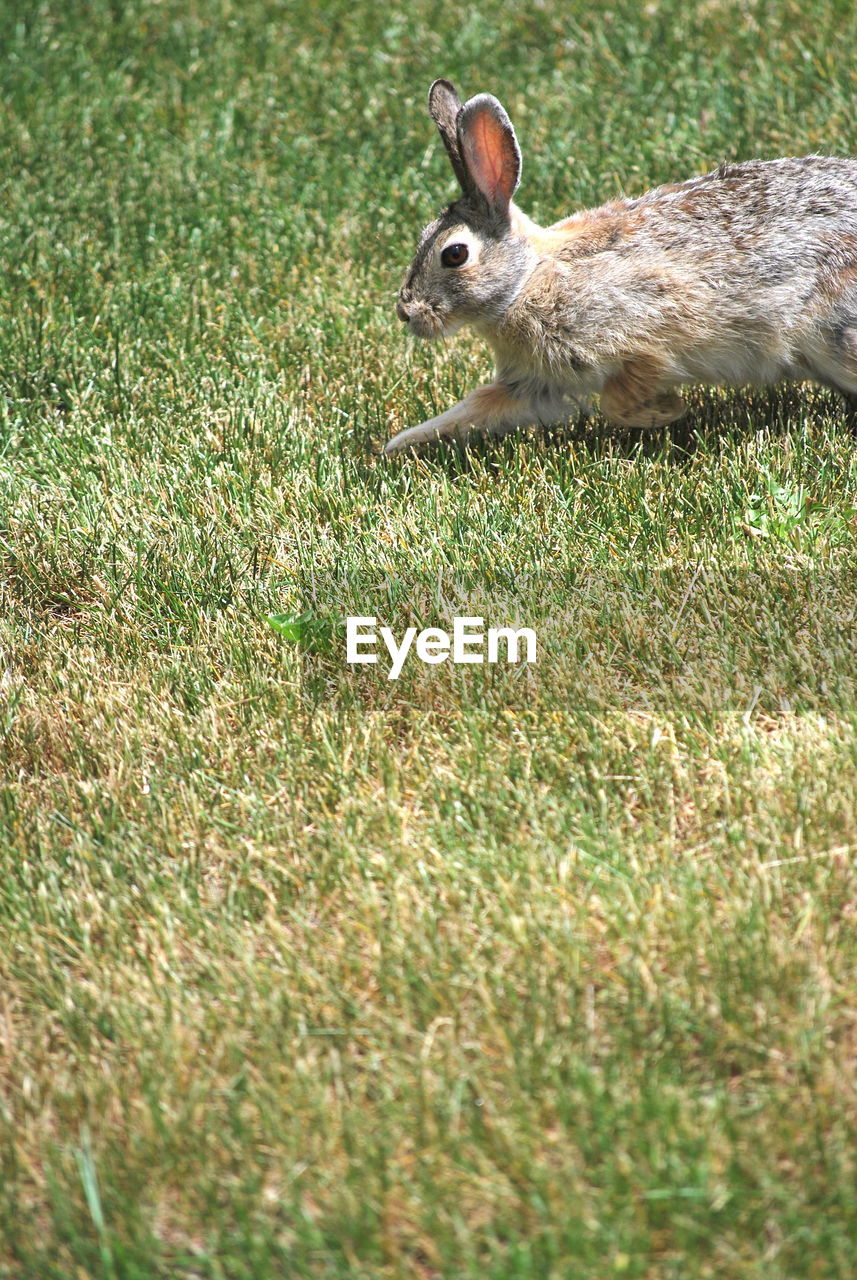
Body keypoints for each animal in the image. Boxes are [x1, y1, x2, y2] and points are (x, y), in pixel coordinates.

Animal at [386, 76, 857, 455]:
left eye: (454, 254)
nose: (406, 313)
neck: (526, 282)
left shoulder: (648, 331)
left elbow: (617, 401)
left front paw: (666, 412)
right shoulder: (531, 383)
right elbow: (475, 407)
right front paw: (398, 445)